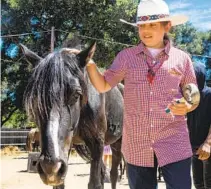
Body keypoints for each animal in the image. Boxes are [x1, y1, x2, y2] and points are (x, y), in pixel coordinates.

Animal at [20, 42, 123, 189]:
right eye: (35, 98)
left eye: (76, 94)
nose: (50, 168)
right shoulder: (67, 148)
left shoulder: (97, 142)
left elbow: (94, 183)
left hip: (117, 144)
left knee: (113, 173)